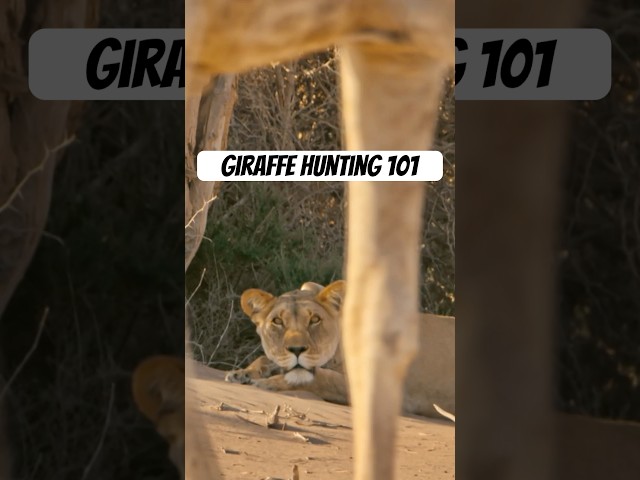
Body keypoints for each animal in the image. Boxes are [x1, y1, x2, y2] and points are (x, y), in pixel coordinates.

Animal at [225, 280, 455, 419]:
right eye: (278, 321)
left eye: (314, 320)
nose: (297, 349)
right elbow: (268, 360)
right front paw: (242, 373)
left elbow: (321, 378)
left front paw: (268, 383)